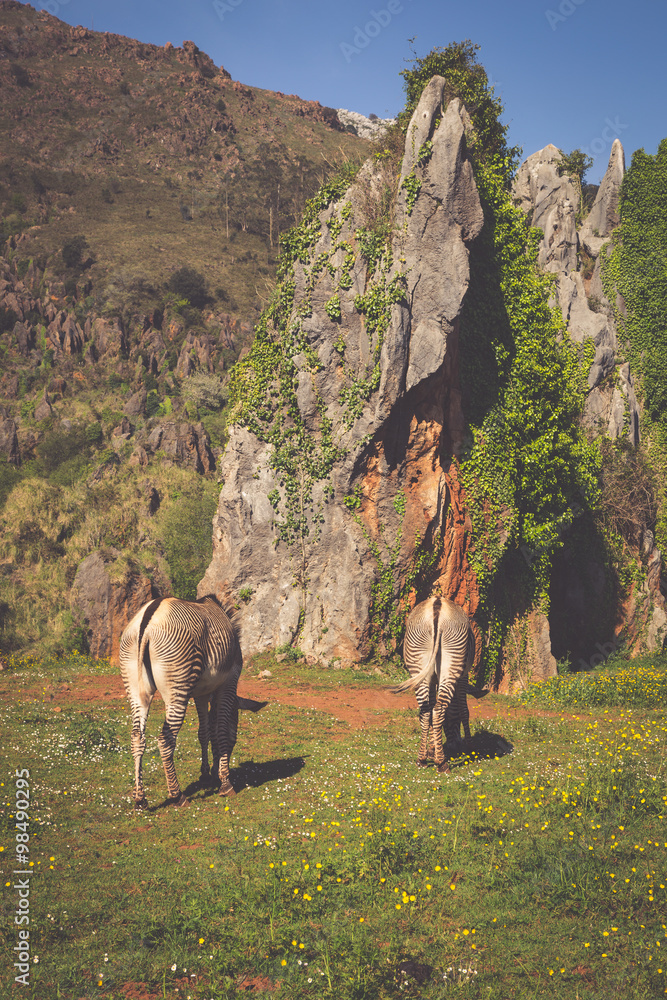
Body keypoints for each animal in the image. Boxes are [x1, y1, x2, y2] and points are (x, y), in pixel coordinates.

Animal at [119, 595, 242, 808]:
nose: (216, 777)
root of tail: (146, 620)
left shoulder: (201, 693)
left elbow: (204, 732)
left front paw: (206, 775)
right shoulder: (229, 682)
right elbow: (220, 731)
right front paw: (225, 783)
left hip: (135, 688)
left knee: (136, 737)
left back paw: (140, 798)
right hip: (177, 688)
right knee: (165, 740)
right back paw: (177, 796)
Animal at [393, 596, 474, 773]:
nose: (455, 743)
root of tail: (437, 604)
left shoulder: (432, 679)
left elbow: (430, 709)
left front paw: (431, 749)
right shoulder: (463, 677)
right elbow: (464, 710)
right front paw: (470, 747)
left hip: (418, 663)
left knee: (425, 710)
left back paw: (421, 759)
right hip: (452, 664)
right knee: (438, 710)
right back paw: (442, 763)